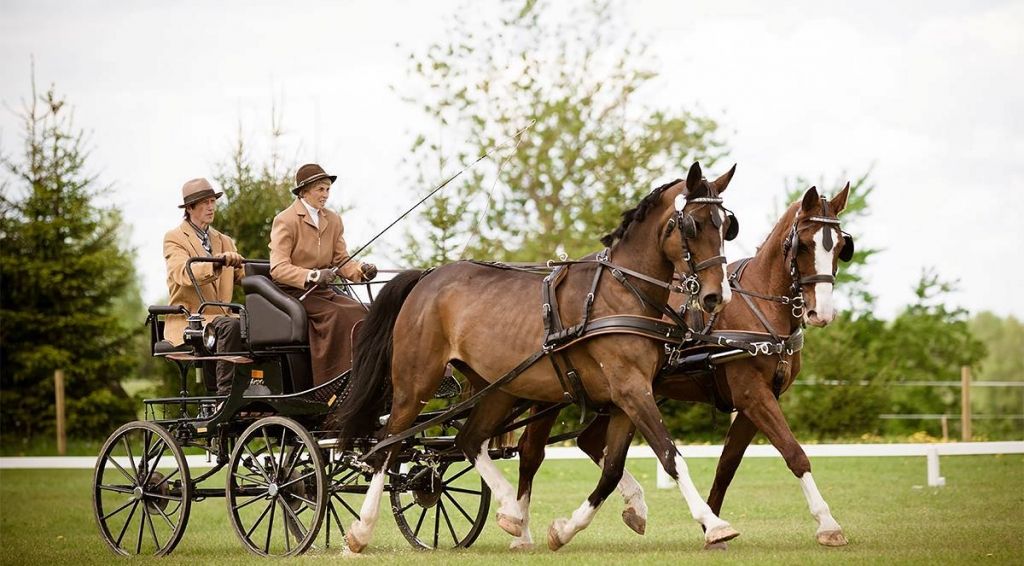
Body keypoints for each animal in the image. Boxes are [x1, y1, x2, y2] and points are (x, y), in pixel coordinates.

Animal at [335, 161, 745, 552]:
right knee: (389, 444)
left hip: (499, 387)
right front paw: (714, 525)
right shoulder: (630, 389)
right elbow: (669, 454)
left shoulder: (627, 396)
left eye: (727, 226)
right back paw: (361, 531)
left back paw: (512, 513)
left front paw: (565, 530)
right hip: (416, 381)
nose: (716, 296)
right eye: (692, 225)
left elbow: (613, 468)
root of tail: (428, 276)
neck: (621, 293)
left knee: (468, 440)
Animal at [512, 184, 856, 548]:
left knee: (589, 443)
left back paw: (630, 508)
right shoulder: (751, 394)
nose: (822, 313)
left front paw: (712, 526)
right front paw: (828, 523)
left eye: (841, 247)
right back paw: (519, 527)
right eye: (803, 244)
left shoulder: (758, 400)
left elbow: (727, 464)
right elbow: (794, 452)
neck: (759, 306)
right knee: (530, 451)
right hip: (554, 391)